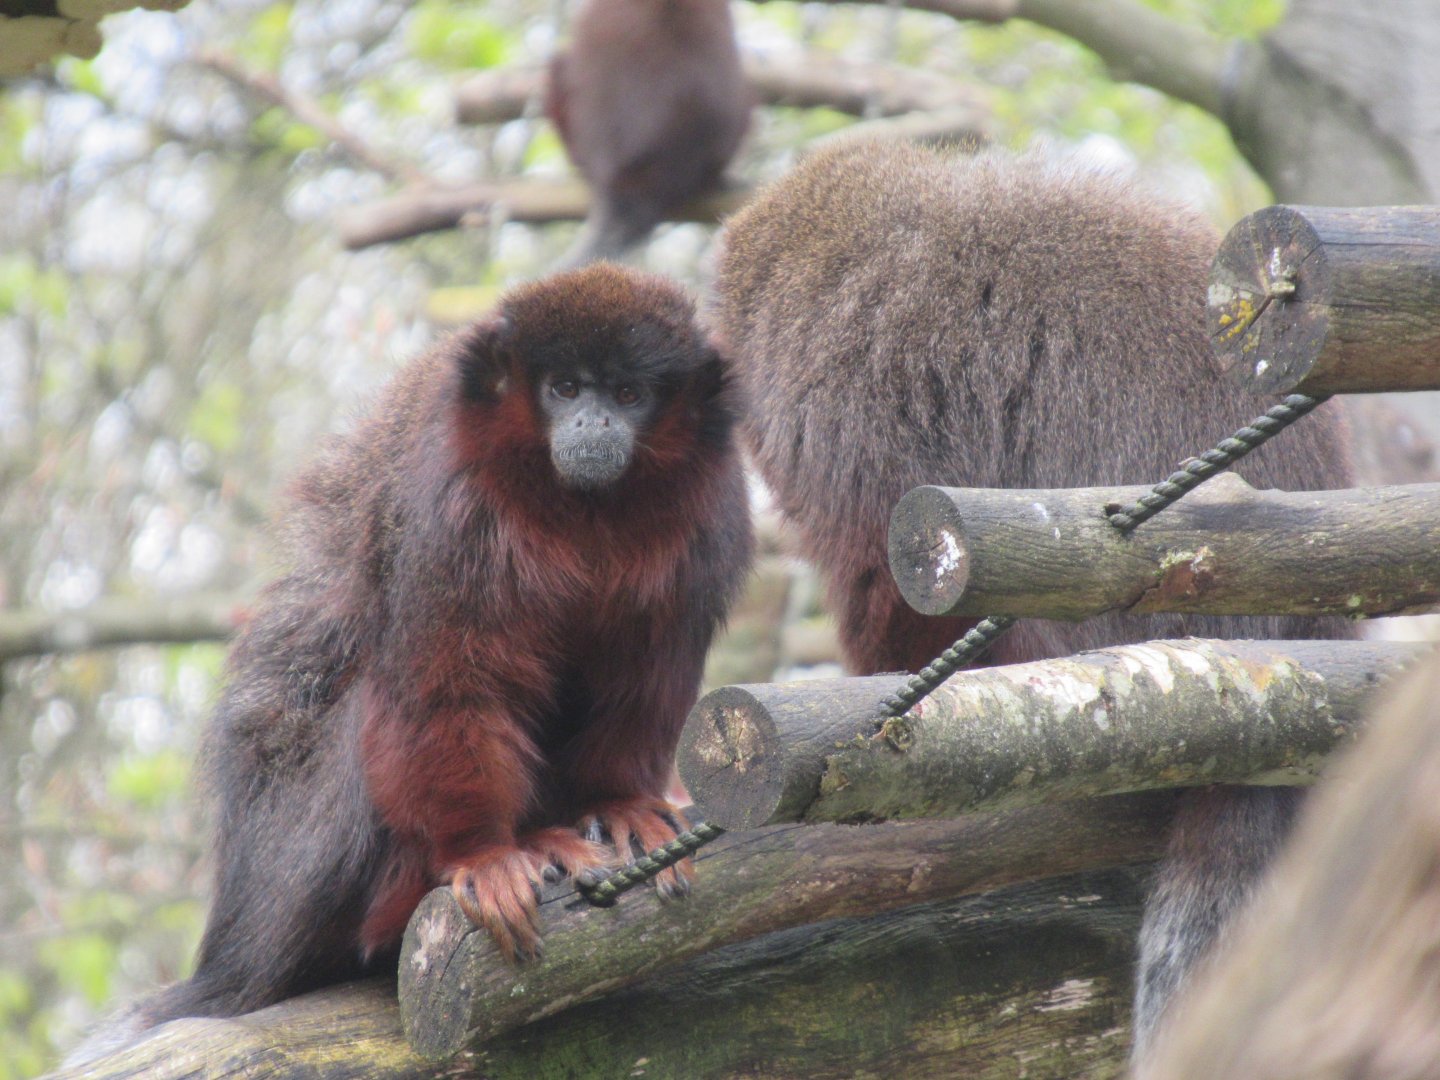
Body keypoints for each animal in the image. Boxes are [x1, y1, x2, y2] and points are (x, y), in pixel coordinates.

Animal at [100, 264, 753, 1041]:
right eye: (564, 388)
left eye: (628, 395)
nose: (592, 423)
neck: (579, 507)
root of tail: (234, 951)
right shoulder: (451, 506)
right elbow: (444, 683)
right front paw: (483, 853)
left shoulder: (708, 513)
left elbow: (644, 674)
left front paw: (618, 801)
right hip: (295, 875)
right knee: (374, 707)